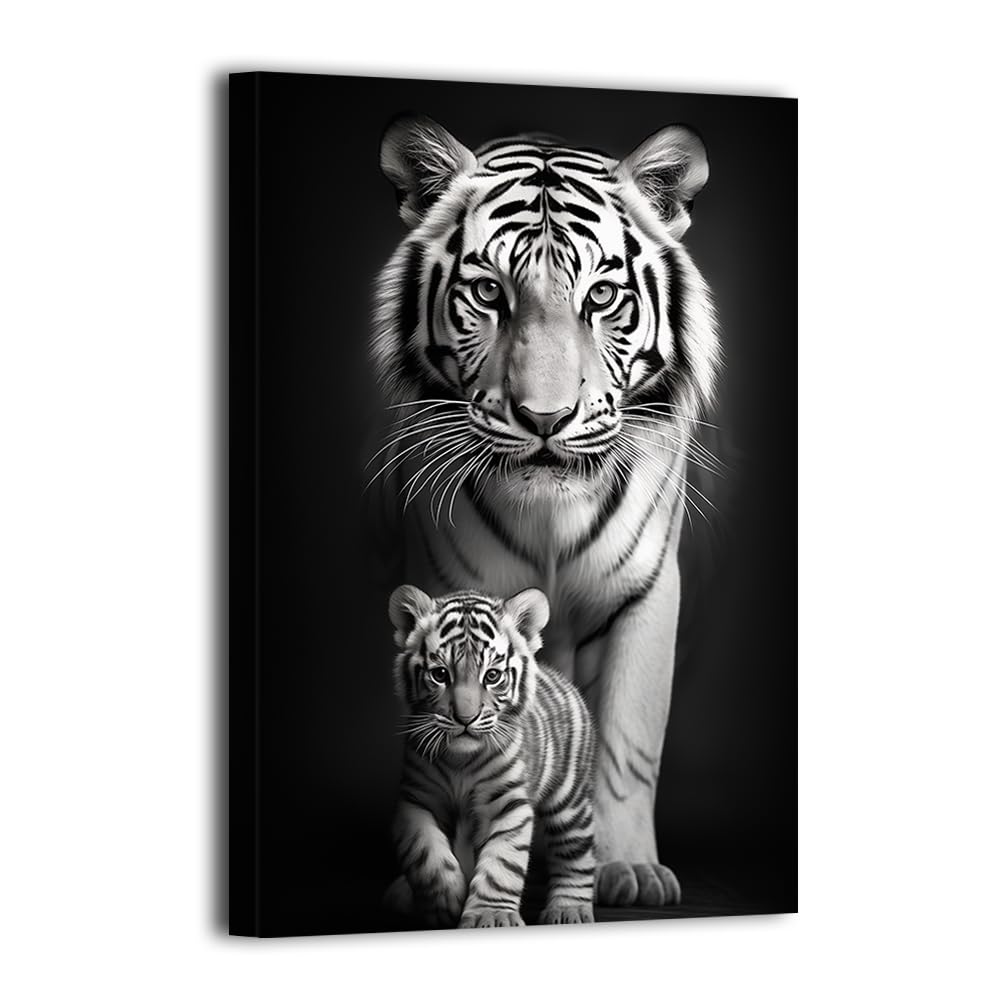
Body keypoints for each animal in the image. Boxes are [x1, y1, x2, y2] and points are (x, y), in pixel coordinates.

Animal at [387, 584, 596, 928]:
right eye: (440, 675)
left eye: (493, 676)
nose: (465, 718)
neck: (459, 761)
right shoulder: (415, 799)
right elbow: (424, 852)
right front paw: (446, 900)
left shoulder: (508, 804)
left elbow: (502, 864)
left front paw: (492, 915)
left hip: (570, 799)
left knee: (575, 852)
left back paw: (569, 910)